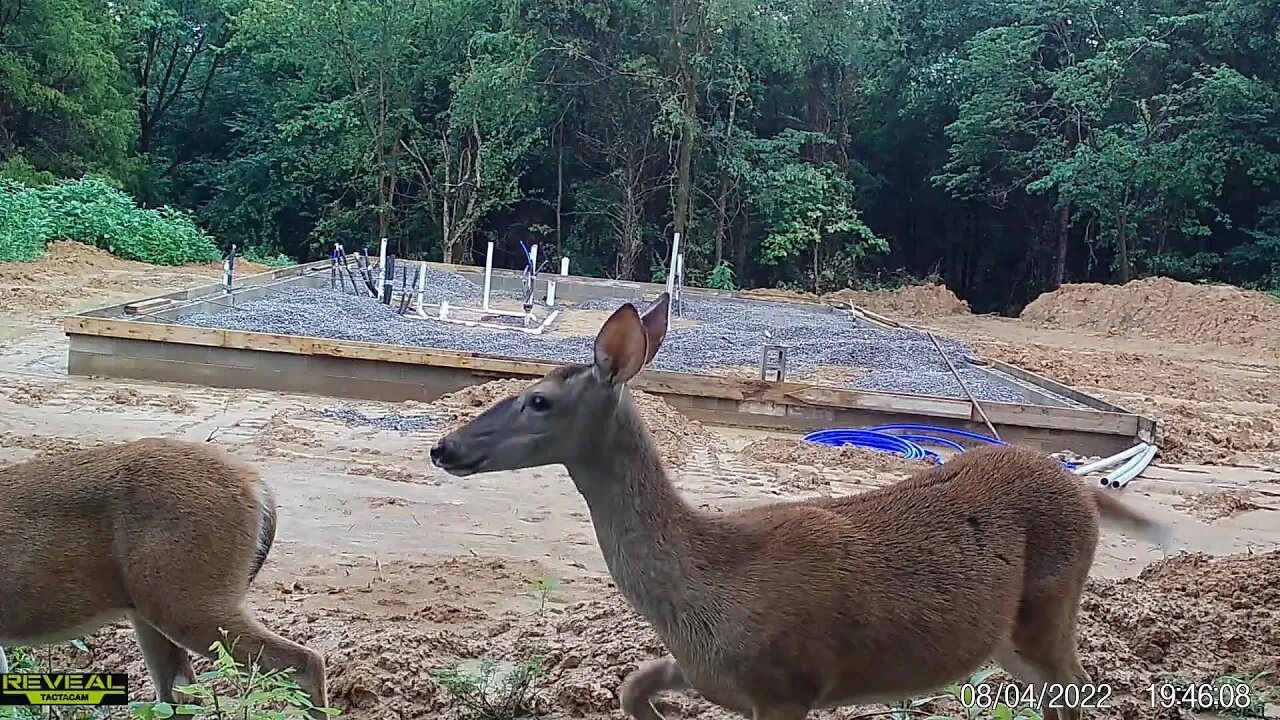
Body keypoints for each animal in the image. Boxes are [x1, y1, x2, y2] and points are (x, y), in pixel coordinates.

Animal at [432, 292, 1177, 717]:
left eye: (537, 400)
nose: (444, 447)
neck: (707, 585)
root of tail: (1081, 485)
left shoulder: (789, 682)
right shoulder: (714, 673)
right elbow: (631, 686)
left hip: (1050, 604)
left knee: (1078, 687)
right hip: (1007, 635)